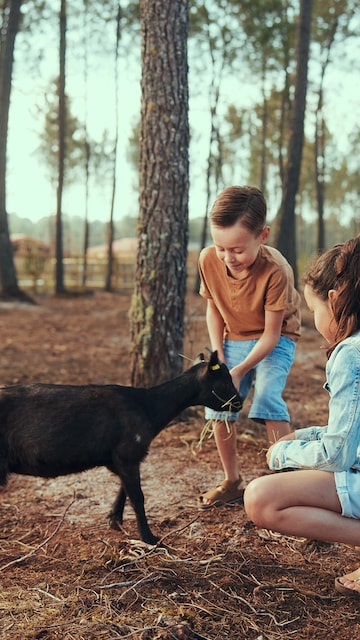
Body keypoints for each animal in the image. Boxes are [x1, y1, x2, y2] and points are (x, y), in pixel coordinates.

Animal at [0, 352, 242, 544]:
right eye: (224, 381)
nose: (239, 402)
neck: (148, 407)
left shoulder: (120, 458)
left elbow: (124, 489)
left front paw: (114, 520)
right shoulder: (128, 454)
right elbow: (138, 496)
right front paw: (150, 538)